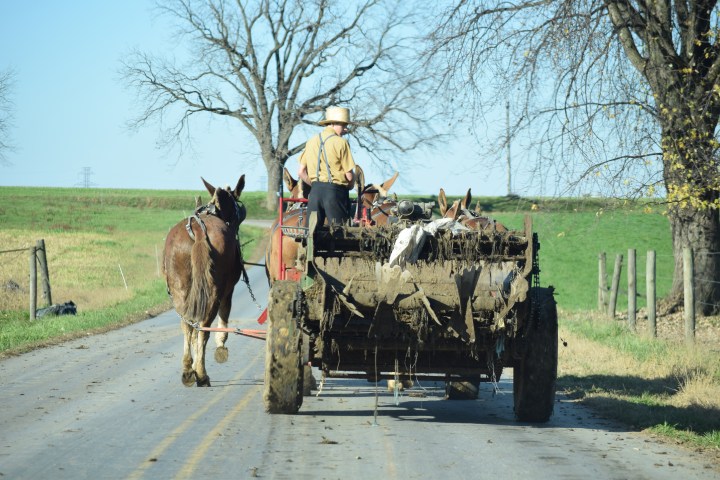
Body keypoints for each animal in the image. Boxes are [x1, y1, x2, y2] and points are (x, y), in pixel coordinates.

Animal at [162, 175, 247, 387]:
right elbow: (223, 320)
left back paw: (187, 370)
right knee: (203, 327)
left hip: (181, 288)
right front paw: (221, 345)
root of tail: (198, 230)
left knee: (188, 325)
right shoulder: (228, 292)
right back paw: (201, 373)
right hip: (213, 292)